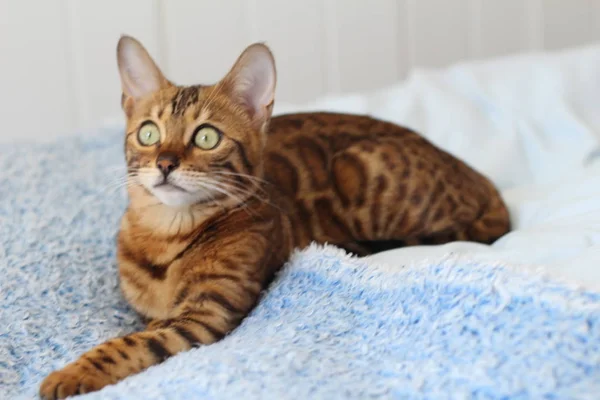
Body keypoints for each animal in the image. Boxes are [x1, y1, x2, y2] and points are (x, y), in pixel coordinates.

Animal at [37, 36, 508, 398]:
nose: (165, 163)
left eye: (206, 137)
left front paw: (71, 373)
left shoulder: (206, 314)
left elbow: (130, 344)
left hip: (362, 165)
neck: (165, 235)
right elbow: (139, 327)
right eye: (148, 132)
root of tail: (484, 181)